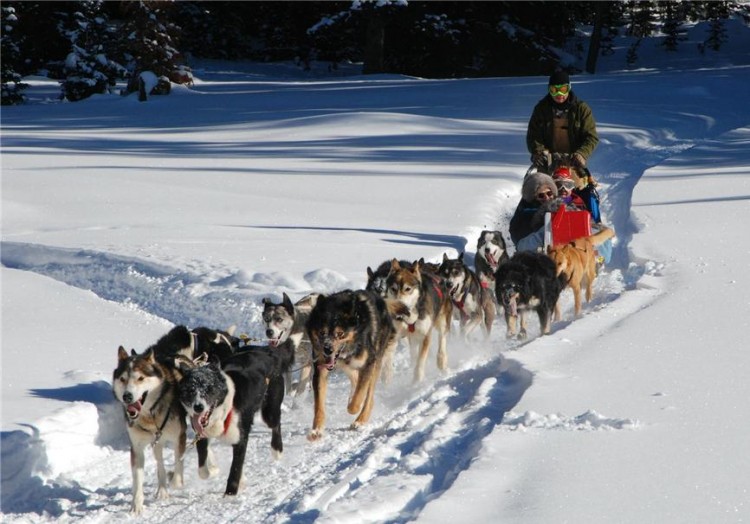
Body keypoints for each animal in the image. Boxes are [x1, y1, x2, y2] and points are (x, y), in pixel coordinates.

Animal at [178, 344, 292, 496]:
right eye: (190, 390)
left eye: (209, 388)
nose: (198, 407)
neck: (224, 409)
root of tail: (267, 352)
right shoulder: (201, 435)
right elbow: (203, 469)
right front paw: (214, 472)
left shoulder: (240, 438)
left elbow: (235, 468)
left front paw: (230, 494)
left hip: (270, 412)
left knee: (276, 424)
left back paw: (277, 450)